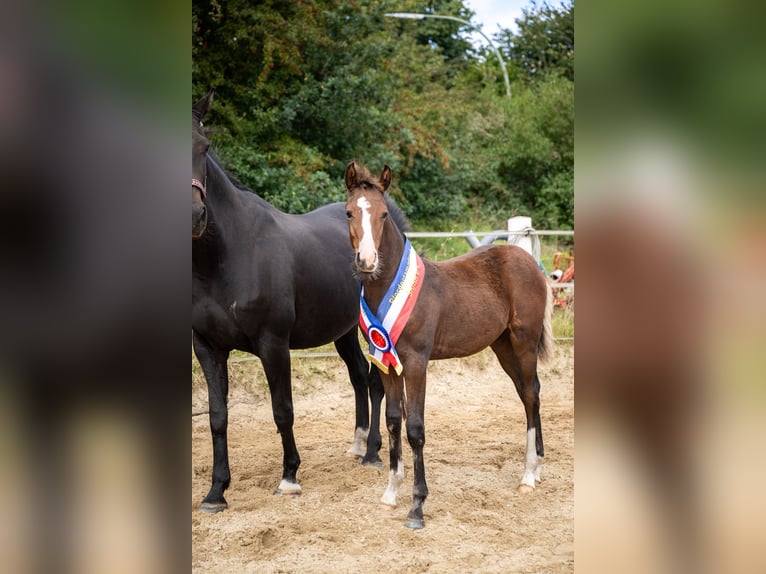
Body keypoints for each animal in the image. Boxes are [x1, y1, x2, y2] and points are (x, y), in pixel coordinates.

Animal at [192, 90, 391, 512]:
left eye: (204, 147)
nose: (194, 215)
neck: (228, 255)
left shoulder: (273, 343)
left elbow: (282, 410)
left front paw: (289, 477)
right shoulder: (207, 347)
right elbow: (217, 417)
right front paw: (216, 492)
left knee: (376, 379)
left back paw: (372, 453)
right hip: (344, 329)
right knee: (358, 376)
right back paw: (357, 444)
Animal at [344, 162, 554, 529]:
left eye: (383, 214)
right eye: (349, 212)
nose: (367, 261)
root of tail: (526, 260)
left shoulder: (416, 363)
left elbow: (415, 428)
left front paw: (417, 507)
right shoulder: (385, 363)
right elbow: (393, 420)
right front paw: (390, 494)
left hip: (523, 341)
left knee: (530, 395)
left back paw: (529, 475)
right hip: (502, 346)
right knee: (529, 392)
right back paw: (537, 469)